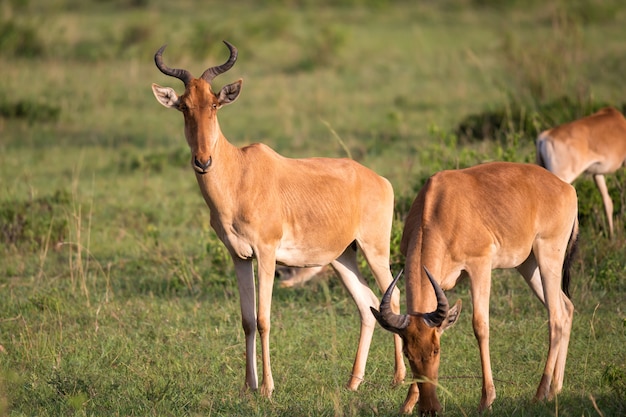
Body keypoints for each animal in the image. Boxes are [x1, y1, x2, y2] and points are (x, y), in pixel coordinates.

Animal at [151, 42, 404, 396]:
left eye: (214, 104)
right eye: (184, 106)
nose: (203, 161)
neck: (240, 171)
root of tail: (381, 180)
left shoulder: (267, 253)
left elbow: (264, 319)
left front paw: (268, 388)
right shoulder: (239, 256)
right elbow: (246, 320)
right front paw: (249, 386)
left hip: (374, 249)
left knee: (392, 298)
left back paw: (399, 378)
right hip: (342, 257)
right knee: (366, 304)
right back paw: (353, 382)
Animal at [368, 161, 576, 414]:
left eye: (436, 350)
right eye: (408, 352)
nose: (430, 409)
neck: (441, 205)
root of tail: (566, 188)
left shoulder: (480, 266)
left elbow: (480, 326)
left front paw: (486, 400)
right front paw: (407, 404)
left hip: (548, 254)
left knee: (555, 317)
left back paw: (539, 395)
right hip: (528, 265)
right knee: (566, 308)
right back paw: (555, 389)